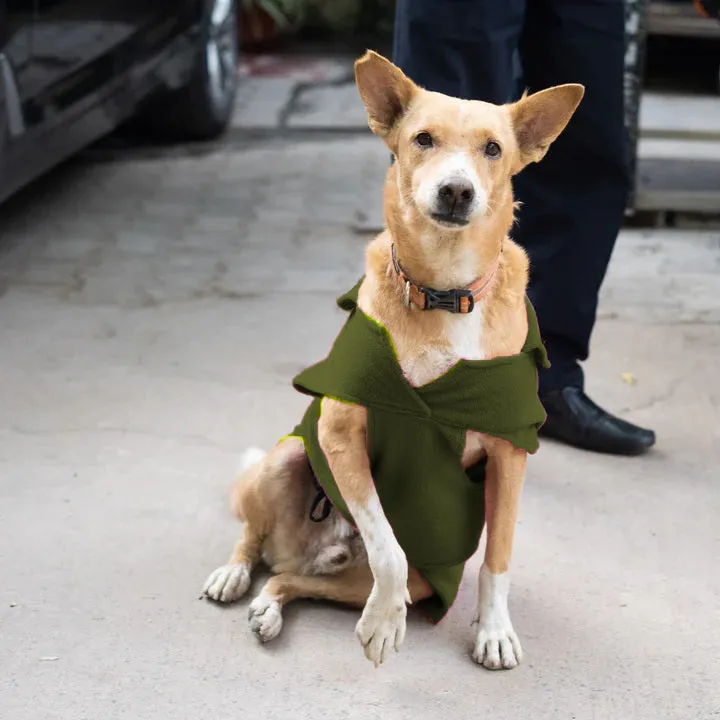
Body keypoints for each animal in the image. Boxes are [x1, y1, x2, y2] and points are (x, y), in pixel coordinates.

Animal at [202, 49, 584, 668]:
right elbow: (388, 546)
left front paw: (494, 630)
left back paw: (273, 605)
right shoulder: (338, 430)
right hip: (288, 456)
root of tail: (308, 549)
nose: (456, 191)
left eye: (493, 149)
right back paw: (235, 574)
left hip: (412, 580)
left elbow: (498, 556)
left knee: (289, 578)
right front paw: (383, 624)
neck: (446, 291)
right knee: (254, 539)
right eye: (423, 139)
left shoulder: (511, 451)